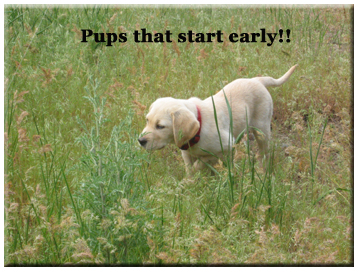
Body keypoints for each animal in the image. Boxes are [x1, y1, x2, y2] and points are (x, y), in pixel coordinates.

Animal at [138, 65, 298, 173]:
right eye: (147, 120)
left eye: (160, 126)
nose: (140, 141)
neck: (199, 128)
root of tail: (257, 80)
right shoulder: (186, 153)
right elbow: (190, 169)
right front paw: (188, 184)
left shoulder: (225, 147)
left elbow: (203, 162)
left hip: (262, 129)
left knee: (264, 153)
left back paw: (261, 170)